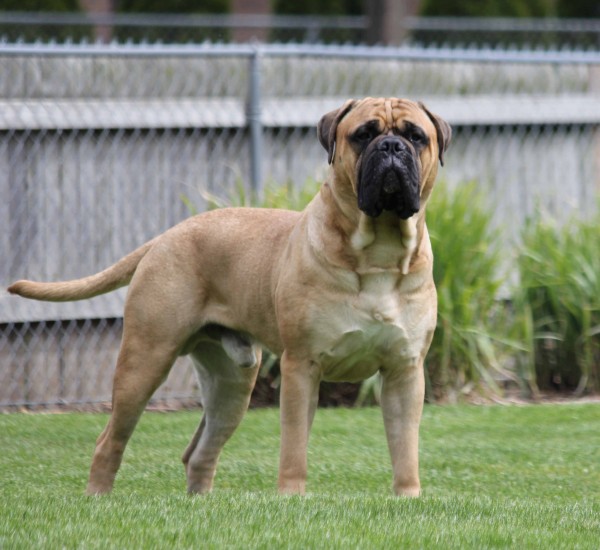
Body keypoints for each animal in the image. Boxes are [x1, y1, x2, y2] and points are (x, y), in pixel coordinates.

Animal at [8, 97, 450, 498]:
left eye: (416, 136)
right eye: (363, 135)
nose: (391, 147)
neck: (379, 252)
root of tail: (167, 235)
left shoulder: (405, 371)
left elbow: (405, 447)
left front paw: (408, 498)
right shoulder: (301, 366)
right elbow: (294, 445)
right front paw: (292, 498)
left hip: (231, 384)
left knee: (199, 451)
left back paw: (201, 505)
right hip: (144, 361)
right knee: (109, 440)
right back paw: (98, 498)